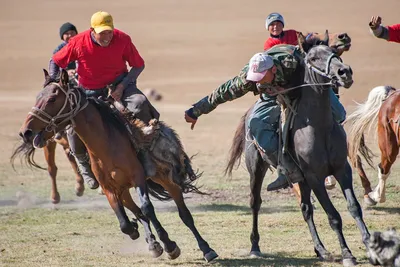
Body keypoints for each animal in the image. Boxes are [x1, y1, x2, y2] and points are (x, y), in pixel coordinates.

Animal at [14, 69, 219, 264]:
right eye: (37, 97)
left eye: (52, 99)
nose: (25, 132)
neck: (105, 146)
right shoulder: (109, 189)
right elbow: (125, 222)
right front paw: (142, 234)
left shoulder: (138, 178)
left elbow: (147, 208)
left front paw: (169, 245)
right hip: (124, 190)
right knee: (136, 211)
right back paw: (152, 243)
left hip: (164, 178)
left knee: (183, 213)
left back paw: (206, 249)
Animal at [227, 34, 370, 267]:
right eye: (312, 58)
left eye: (333, 52)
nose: (344, 72)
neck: (319, 127)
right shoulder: (314, 177)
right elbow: (334, 216)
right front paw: (347, 254)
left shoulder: (342, 170)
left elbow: (354, 208)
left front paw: (370, 244)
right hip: (257, 169)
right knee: (255, 203)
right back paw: (255, 247)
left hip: (300, 179)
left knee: (305, 209)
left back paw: (320, 249)